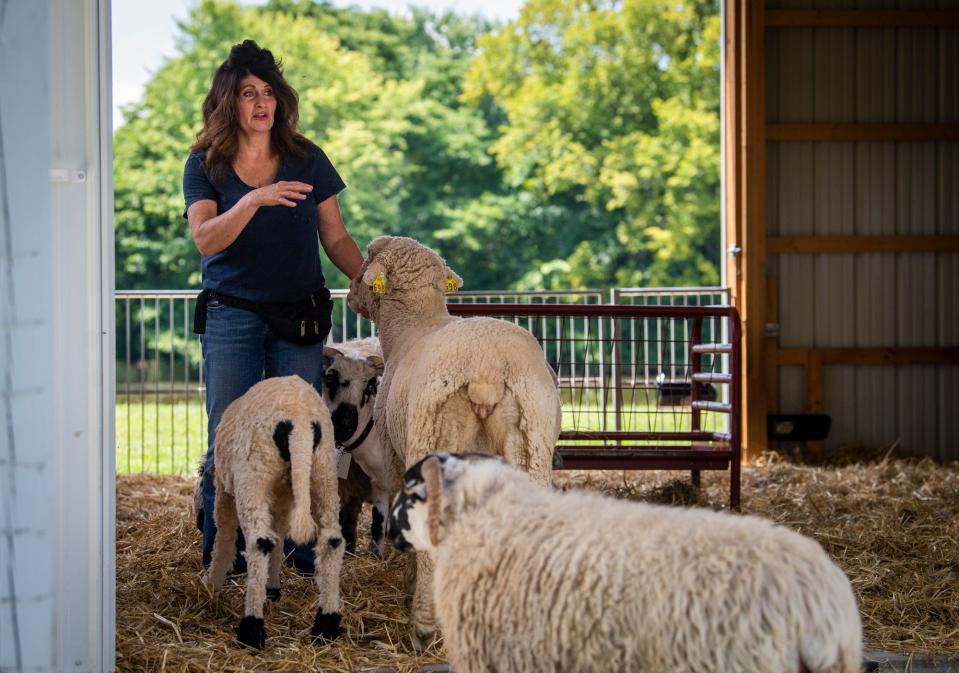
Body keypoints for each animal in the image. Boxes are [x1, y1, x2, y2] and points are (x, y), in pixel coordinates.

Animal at [346, 235, 564, 644]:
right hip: (532, 445)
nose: (350, 294)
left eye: (366, 259)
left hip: (433, 441)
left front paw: (409, 586)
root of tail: (487, 369)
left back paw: (424, 626)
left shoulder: (396, 458)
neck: (412, 325)